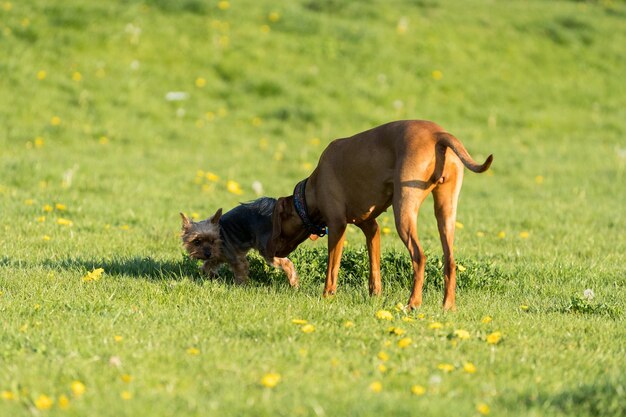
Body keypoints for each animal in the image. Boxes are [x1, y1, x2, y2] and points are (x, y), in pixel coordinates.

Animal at [266, 119, 490, 308]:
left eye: (277, 227)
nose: (272, 253)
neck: (310, 191)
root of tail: (438, 134)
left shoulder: (337, 226)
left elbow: (332, 268)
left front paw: (326, 296)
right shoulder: (371, 227)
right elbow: (374, 266)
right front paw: (375, 295)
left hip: (403, 210)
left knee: (419, 256)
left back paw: (413, 303)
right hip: (446, 212)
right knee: (449, 260)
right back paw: (448, 307)